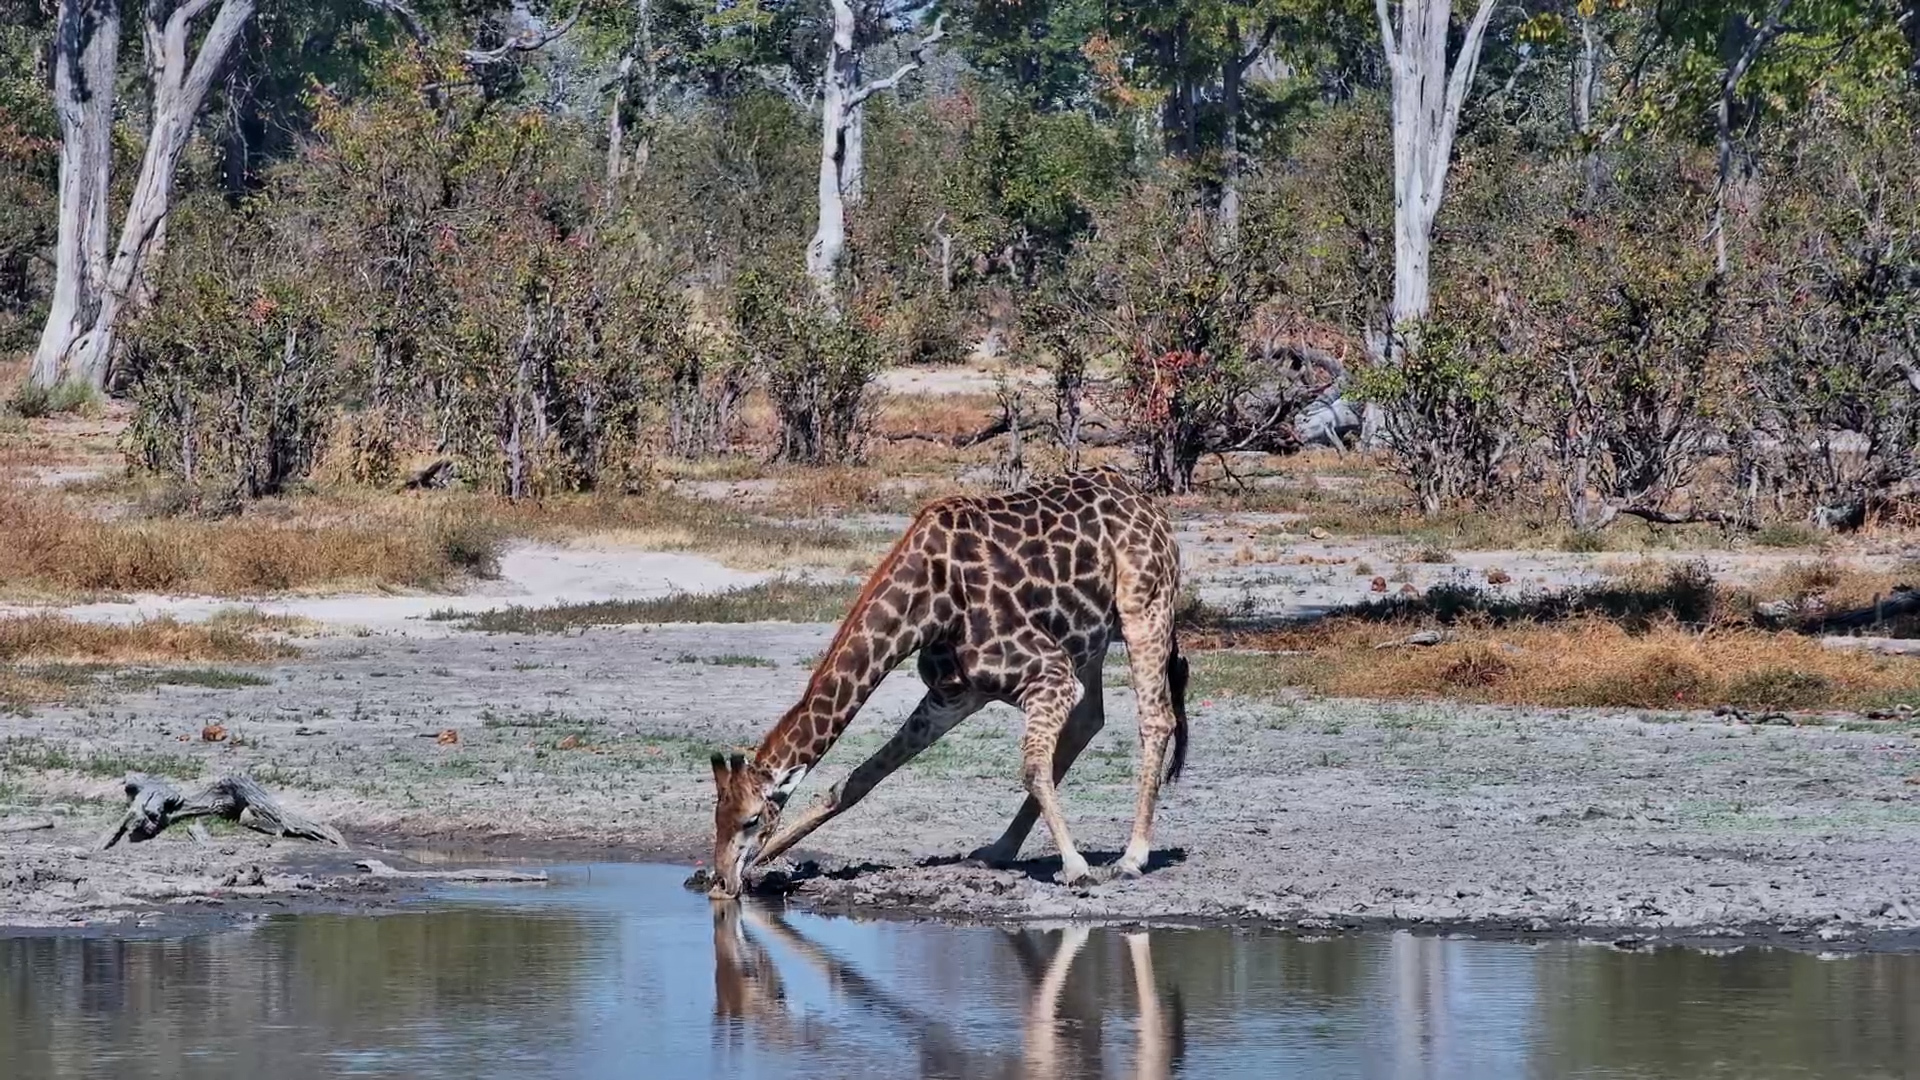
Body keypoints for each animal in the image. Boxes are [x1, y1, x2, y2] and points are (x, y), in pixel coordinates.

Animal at [708, 467, 1190, 898]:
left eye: (751, 819)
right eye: (717, 817)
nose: (724, 882)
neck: (930, 603)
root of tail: (1147, 502)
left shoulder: (1048, 673)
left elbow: (1031, 767)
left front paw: (1077, 868)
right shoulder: (952, 695)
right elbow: (854, 783)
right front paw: (769, 860)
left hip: (1144, 607)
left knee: (1156, 719)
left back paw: (1131, 858)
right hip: (1088, 639)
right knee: (1090, 721)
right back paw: (997, 850)